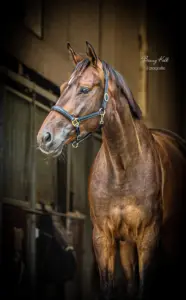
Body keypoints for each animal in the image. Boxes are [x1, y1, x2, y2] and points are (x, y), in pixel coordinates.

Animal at [36, 42, 186, 300]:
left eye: (85, 89)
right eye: (63, 87)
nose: (44, 137)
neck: (123, 171)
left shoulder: (148, 237)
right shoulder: (104, 237)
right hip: (126, 244)